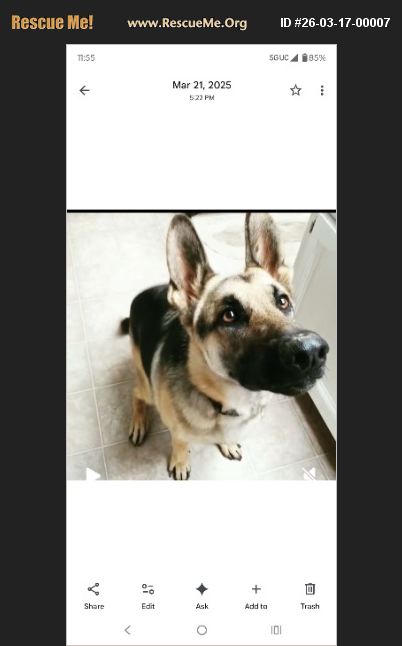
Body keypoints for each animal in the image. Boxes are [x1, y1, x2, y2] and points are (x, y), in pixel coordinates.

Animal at [121, 213, 329, 479]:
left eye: (282, 301)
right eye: (229, 315)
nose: (312, 352)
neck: (225, 401)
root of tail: (143, 295)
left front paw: (226, 443)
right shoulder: (177, 429)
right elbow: (180, 441)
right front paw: (180, 461)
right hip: (147, 386)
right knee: (136, 394)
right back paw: (138, 422)